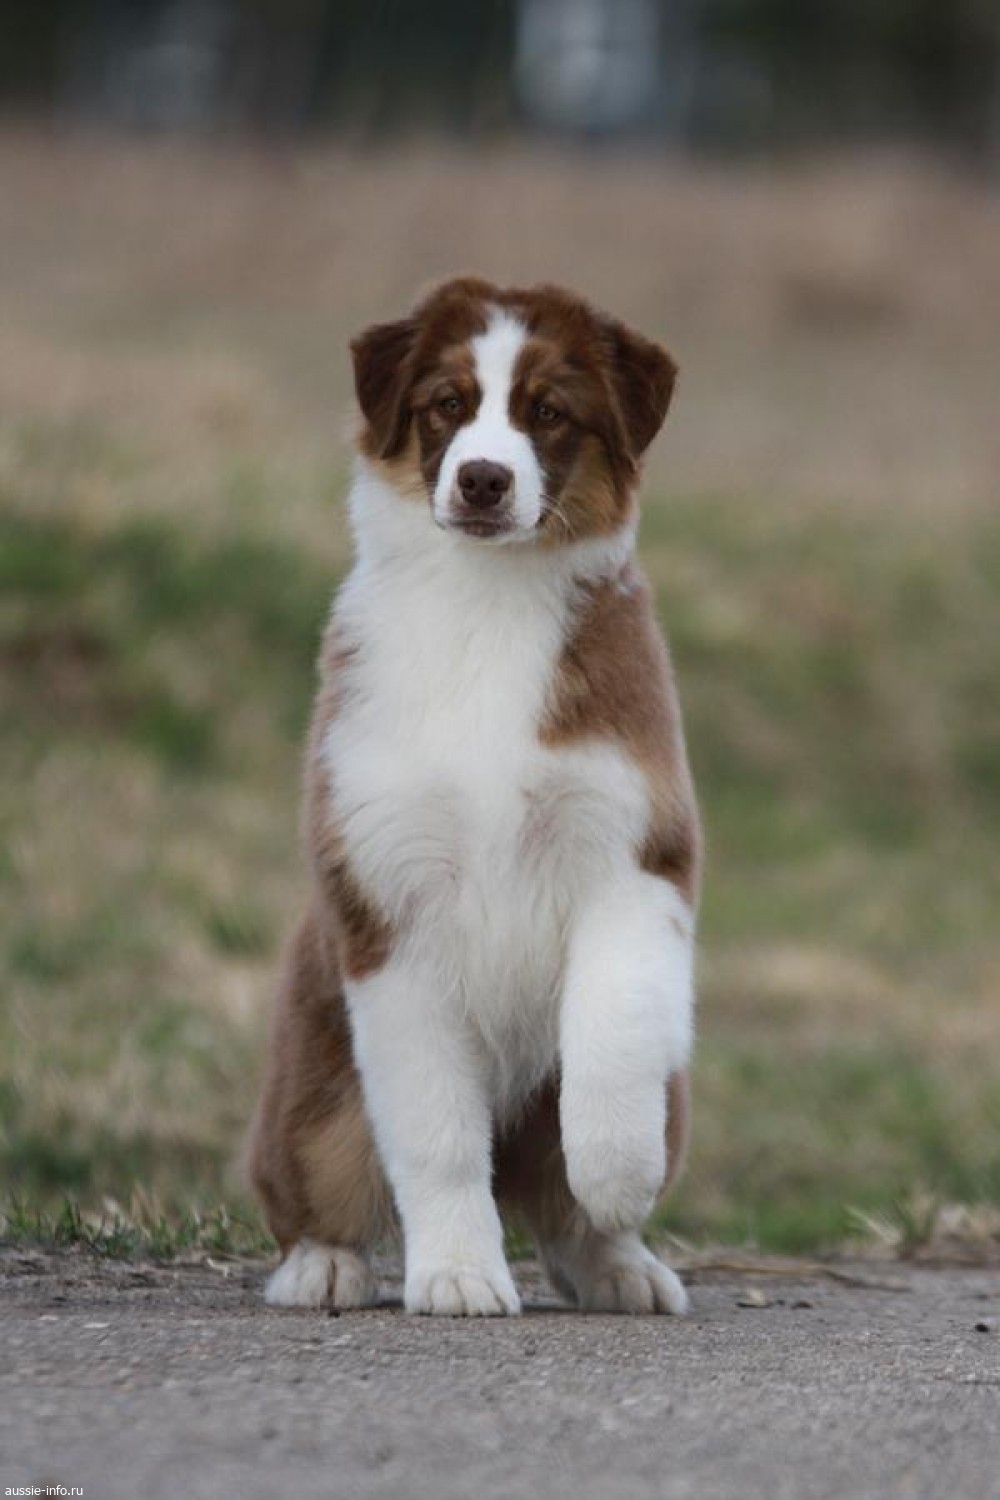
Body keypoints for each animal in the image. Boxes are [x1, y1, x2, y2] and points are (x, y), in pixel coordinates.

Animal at [249, 277, 701, 1316]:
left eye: (549, 412)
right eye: (447, 405)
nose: (483, 480)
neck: (488, 603)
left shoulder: (635, 850)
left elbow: (613, 1030)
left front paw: (616, 1172)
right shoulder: (391, 903)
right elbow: (436, 1131)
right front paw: (458, 1274)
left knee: (561, 1205)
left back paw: (620, 1262)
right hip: (311, 1087)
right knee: (318, 1180)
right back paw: (322, 1267)